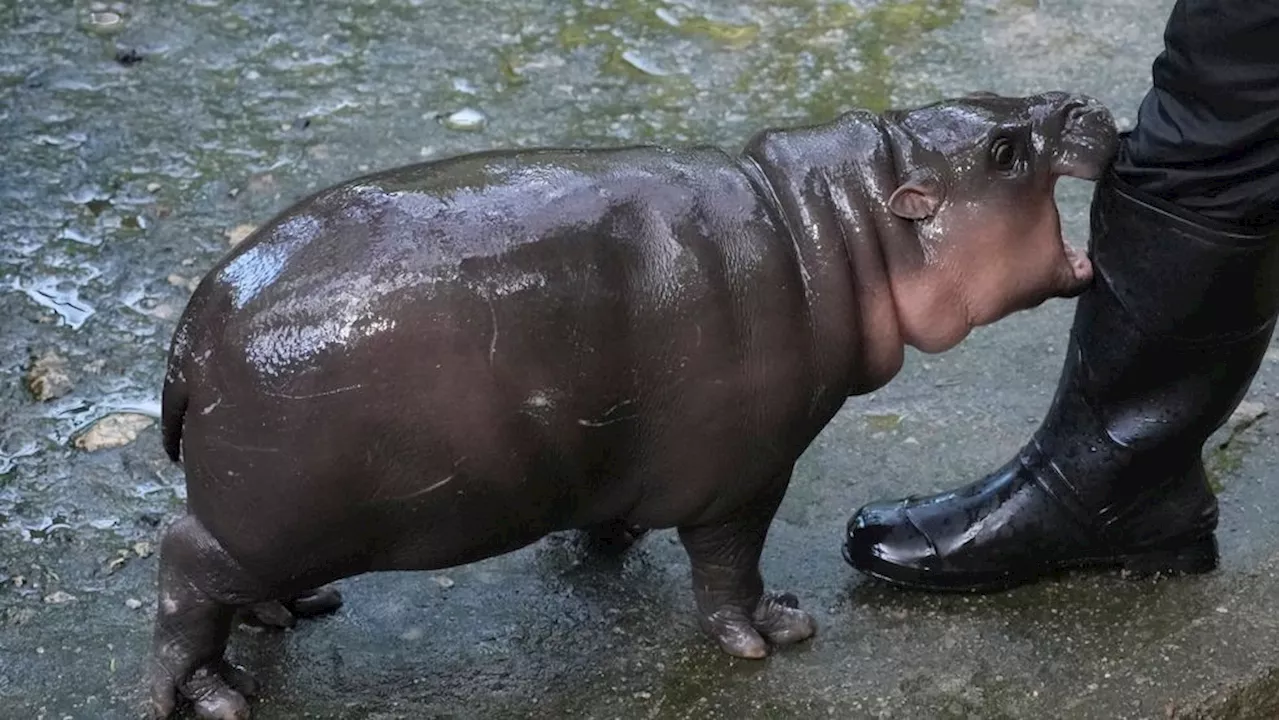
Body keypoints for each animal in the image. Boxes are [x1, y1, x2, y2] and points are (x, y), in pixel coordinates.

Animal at [145, 90, 1116, 717]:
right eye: (1004, 152)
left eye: (994, 100)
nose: (1083, 104)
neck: (840, 226)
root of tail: (198, 327)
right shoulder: (750, 473)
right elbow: (729, 568)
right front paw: (774, 632)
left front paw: (609, 541)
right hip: (264, 517)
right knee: (184, 568)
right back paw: (214, 697)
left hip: (272, 523)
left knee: (231, 584)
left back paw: (287, 613)